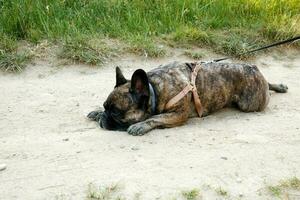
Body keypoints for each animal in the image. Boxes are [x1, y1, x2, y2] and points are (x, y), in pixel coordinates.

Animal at [87, 61, 288, 136]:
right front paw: (97, 113)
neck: (153, 90)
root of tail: (253, 67)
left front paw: (140, 125)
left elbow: (156, 117)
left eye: (116, 112)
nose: (104, 117)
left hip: (251, 103)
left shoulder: (178, 114)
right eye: (106, 107)